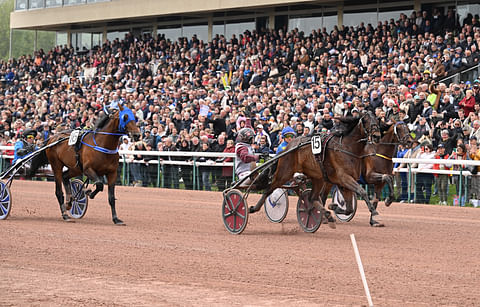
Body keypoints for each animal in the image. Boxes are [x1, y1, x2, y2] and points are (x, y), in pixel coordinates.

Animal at [249, 112, 380, 227]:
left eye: (377, 120)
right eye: (366, 120)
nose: (377, 136)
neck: (346, 147)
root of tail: (287, 148)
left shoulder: (344, 182)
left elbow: (349, 208)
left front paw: (334, 207)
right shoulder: (344, 178)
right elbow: (362, 191)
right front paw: (374, 211)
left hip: (317, 177)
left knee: (312, 198)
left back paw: (326, 214)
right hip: (284, 173)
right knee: (269, 189)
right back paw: (254, 208)